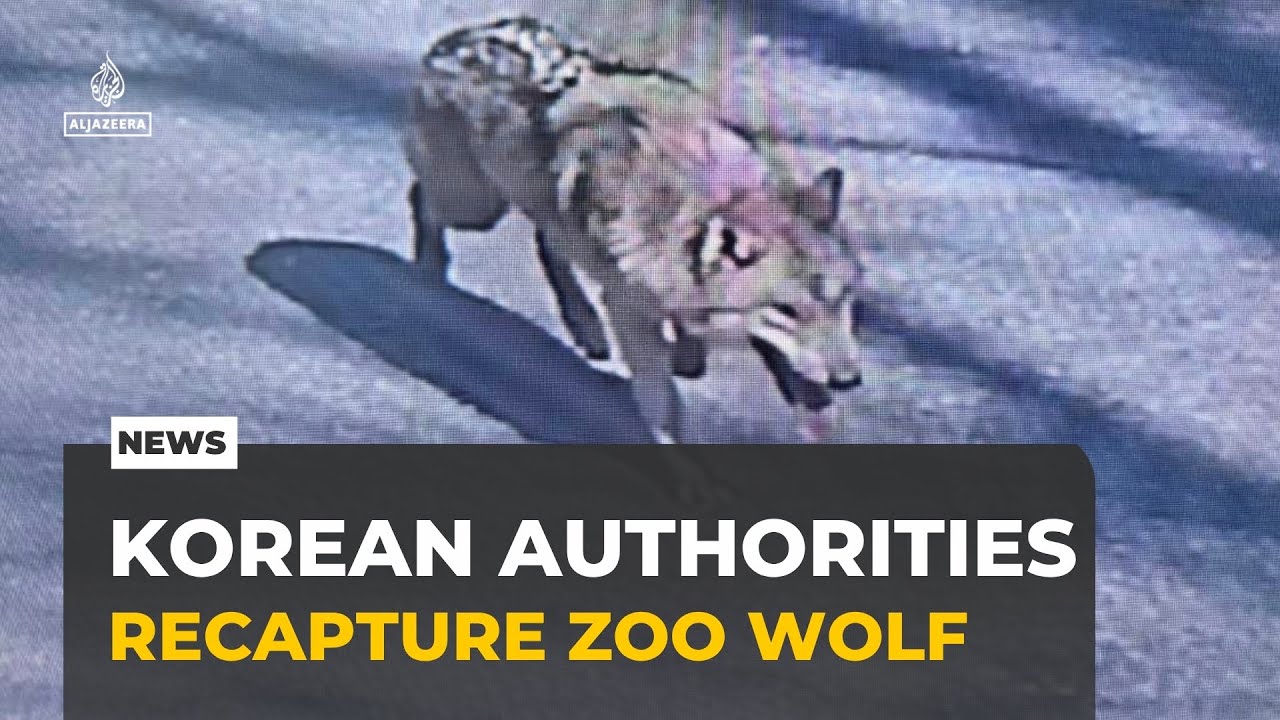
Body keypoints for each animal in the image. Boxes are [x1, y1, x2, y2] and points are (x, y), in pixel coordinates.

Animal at [403, 15, 865, 442]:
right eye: (787, 311)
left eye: (842, 300)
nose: (849, 381)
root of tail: (459, 38)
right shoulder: (630, 311)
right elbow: (663, 404)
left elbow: (691, 355)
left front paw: (685, 353)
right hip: (475, 208)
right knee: (422, 198)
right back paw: (429, 268)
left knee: (547, 240)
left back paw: (586, 327)